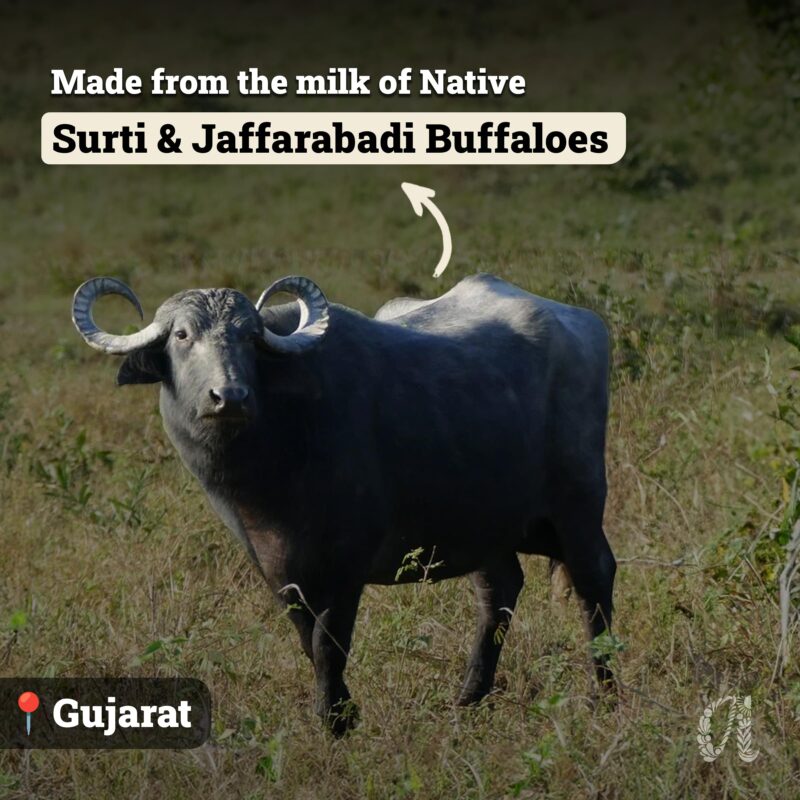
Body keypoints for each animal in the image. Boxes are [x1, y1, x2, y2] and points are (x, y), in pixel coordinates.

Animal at [72, 273, 617, 734]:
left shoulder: (345, 566)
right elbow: (306, 639)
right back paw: (468, 697)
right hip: (486, 524)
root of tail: (583, 323)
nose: (229, 396)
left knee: (595, 582)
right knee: (499, 591)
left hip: (579, 505)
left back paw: (605, 696)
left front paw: (336, 719)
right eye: (182, 335)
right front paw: (340, 711)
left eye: (249, 338)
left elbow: (329, 643)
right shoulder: (277, 570)